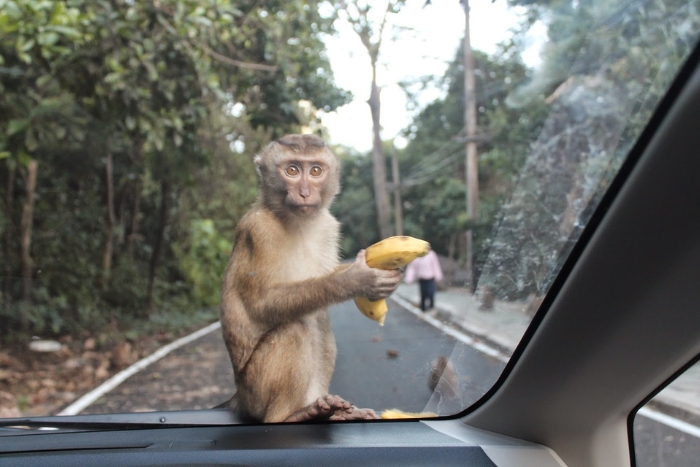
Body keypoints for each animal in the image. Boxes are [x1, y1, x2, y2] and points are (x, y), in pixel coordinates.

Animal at [221, 135, 402, 424]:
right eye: (292, 170)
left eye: (315, 170)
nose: (305, 192)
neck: (295, 220)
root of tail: (239, 397)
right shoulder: (259, 231)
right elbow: (262, 303)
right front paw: (356, 280)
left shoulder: (328, 226)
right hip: (255, 390)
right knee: (296, 328)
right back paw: (291, 416)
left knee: (319, 322)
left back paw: (330, 412)